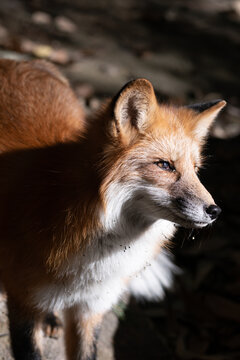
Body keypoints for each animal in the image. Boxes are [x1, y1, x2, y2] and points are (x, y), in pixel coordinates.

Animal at [0, 57, 226, 358]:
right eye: (165, 165)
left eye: (196, 169)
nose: (215, 211)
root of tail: (21, 61)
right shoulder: (24, 304)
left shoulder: (92, 308)